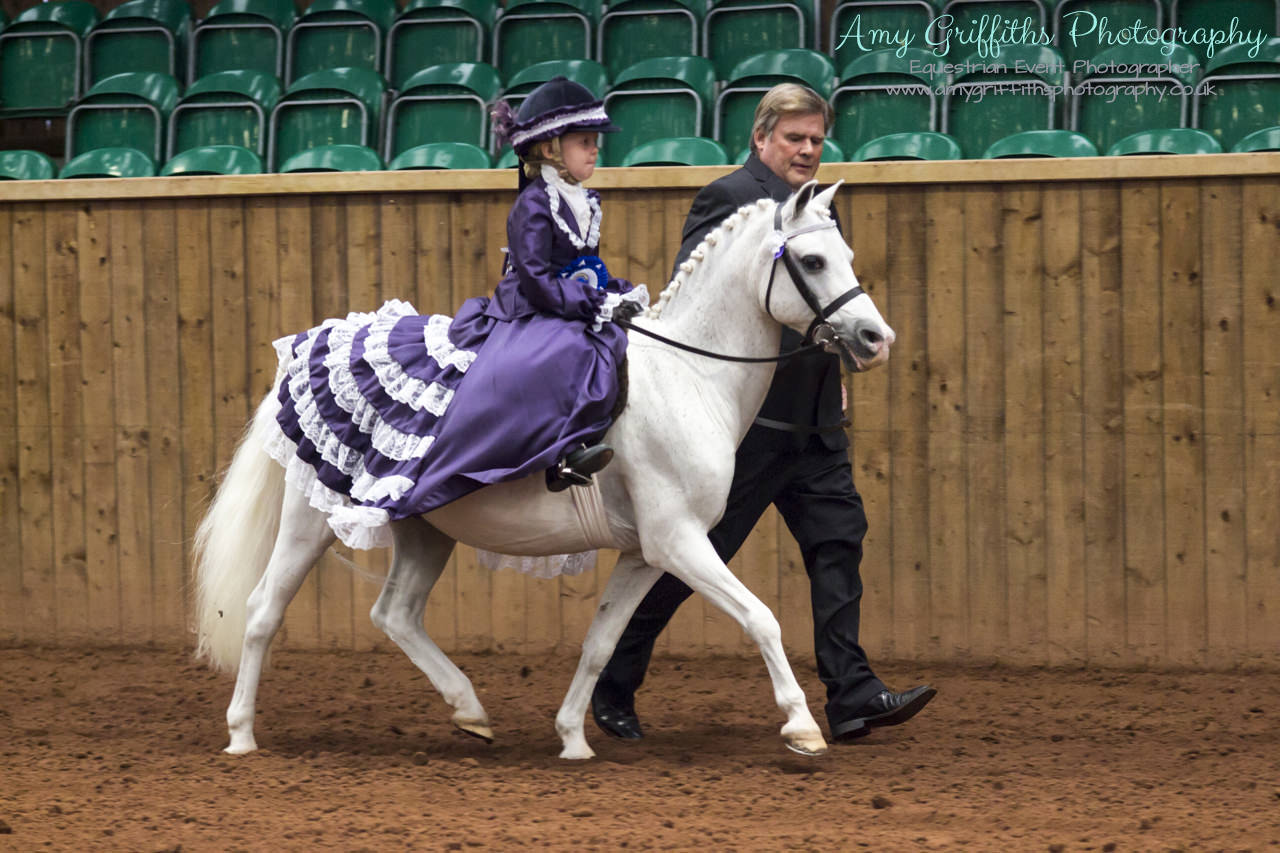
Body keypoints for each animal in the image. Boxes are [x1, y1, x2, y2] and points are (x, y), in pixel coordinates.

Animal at [194, 179, 896, 758]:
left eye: (846, 255)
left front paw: (572, 738)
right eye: (812, 262)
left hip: (426, 528)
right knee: (263, 609)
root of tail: (310, 347)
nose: (876, 339)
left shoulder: (647, 552)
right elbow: (762, 618)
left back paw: (470, 711)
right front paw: (802, 726)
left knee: (394, 614)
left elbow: (601, 642)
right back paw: (241, 735)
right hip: (311, 522)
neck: (690, 376)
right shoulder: (678, 541)